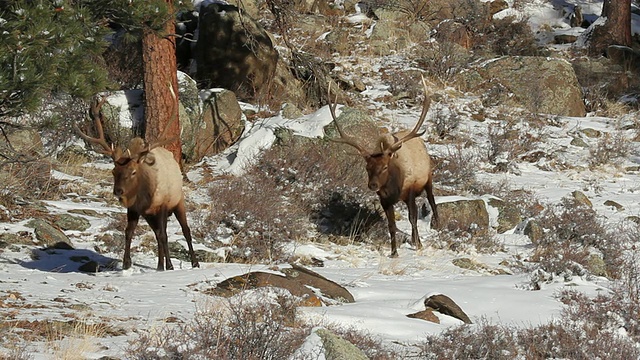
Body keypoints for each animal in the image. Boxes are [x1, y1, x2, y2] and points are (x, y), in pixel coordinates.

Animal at [76, 95, 199, 270]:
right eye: (113, 171)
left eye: (133, 172)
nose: (118, 191)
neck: (145, 195)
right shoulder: (134, 209)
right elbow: (129, 232)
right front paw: (126, 263)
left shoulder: (162, 204)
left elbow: (164, 234)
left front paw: (168, 266)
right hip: (149, 215)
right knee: (158, 233)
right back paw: (162, 264)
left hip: (178, 201)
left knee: (185, 230)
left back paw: (194, 262)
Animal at [328, 79, 438, 258]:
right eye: (367, 167)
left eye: (385, 166)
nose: (373, 185)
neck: (394, 186)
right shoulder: (384, 200)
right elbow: (391, 226)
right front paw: (394, 252)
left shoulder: (410, 190)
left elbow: (413, 218)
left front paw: (419, 244)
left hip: (428, 178)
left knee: (432, 202)